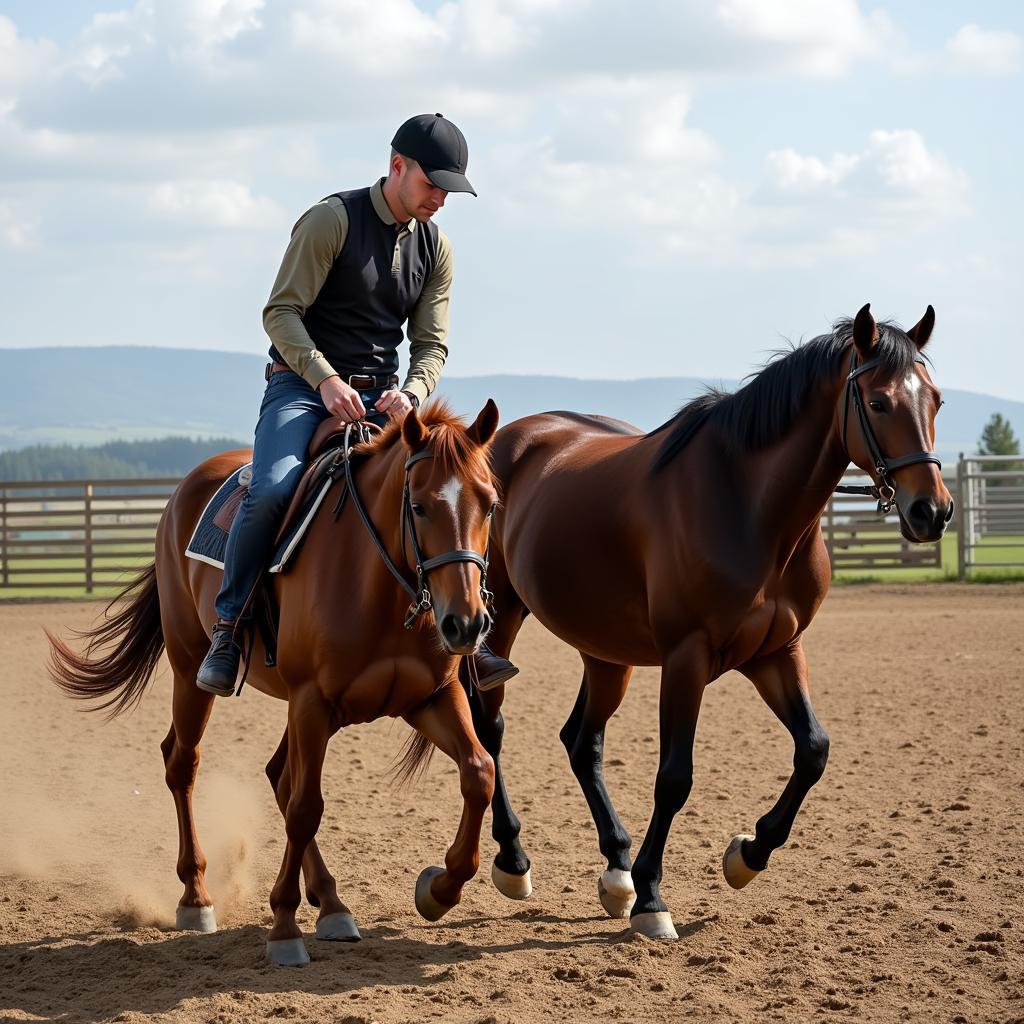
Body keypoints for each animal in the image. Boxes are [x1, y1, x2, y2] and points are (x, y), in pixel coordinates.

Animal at [49, 401, 505, 966]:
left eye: (489, 505)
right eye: (419, 507)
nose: (465, 624)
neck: (376, 583)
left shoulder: (431, 698)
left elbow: (479, 772)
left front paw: (439, 890)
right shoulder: (311, 701)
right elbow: (307, 807)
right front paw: (284, 928)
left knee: (278, 775)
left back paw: (331, 903)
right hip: (190, 670)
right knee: (185, 763)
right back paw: (197, 897)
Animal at [471, 301, 950, 937]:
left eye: (936, 400)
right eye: (877, 402)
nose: (932, 511)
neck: (750, 507)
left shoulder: (778, 652)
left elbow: (813, 750)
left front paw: (747, 854)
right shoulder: (687, 657)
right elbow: (675, 777)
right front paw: (653, 897)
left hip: (605, 651)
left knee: (582, 741)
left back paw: (616, 868)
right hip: (498, 619)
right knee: (491, 729)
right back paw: (514, 859)